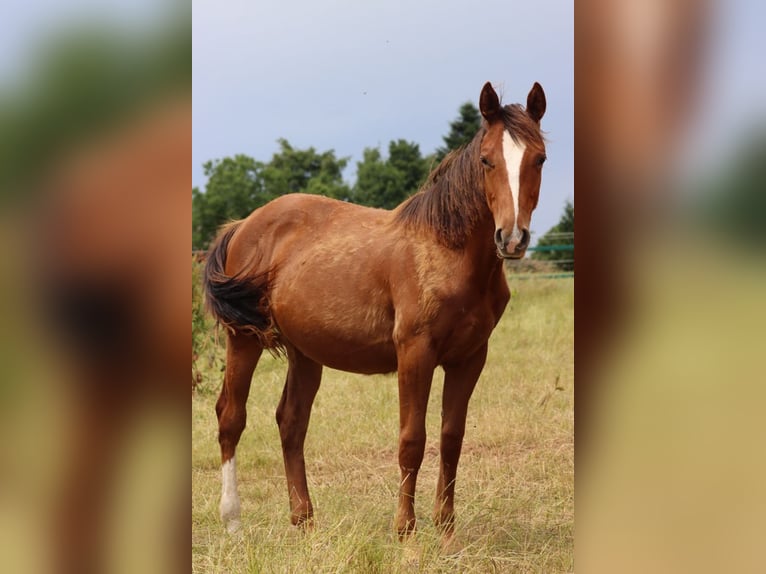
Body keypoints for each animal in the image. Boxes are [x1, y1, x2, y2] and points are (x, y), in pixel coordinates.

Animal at [204, 81, 547, 542]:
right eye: (486, 159)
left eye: (539, 158)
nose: (511, 238)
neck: (447, 251)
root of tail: (244, 224)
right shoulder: (415, 354)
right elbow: (412, 440)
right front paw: (405, 531)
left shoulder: (470, 358)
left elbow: (451, 438)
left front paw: (446, 530)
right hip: (243, 339)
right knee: (231, 417)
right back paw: (234, 523)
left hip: (304, 353)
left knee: (291, 422)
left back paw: (304, 520)